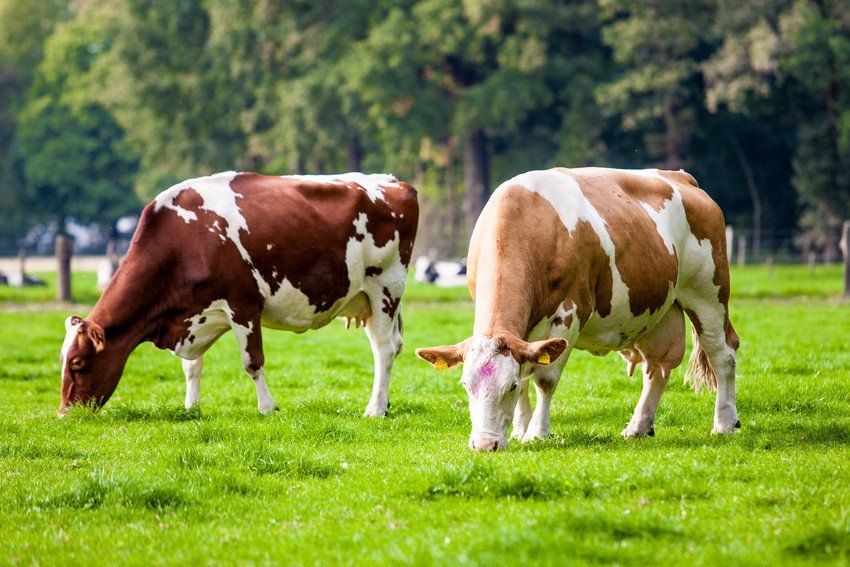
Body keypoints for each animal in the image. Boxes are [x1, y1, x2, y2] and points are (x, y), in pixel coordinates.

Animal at [60, 171, 418, 417]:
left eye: (78, 362)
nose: (65, 413)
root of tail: (394, 182)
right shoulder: (193, 313)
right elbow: (192, 367)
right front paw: (191, 407)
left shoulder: (243, 305)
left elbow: (252, 362)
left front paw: (267, 408)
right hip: (366, 300)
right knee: (390, 346)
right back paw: (384, 403)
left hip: (385, 288)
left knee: (384, 350)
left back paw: (374, 409)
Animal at [416, 168, 739, 451]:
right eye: (465, 386)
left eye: (507, 387)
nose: (484, 445)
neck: (528, 222)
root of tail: (681, 177)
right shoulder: (523, 335)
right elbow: (527, 374)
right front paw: (520, 429)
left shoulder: (571, 312)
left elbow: (543, 379)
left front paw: (536, 433)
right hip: (659, 308)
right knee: (657, 368)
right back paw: (638, 427)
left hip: (708, 293)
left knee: (723, 353)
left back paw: (724, 423)